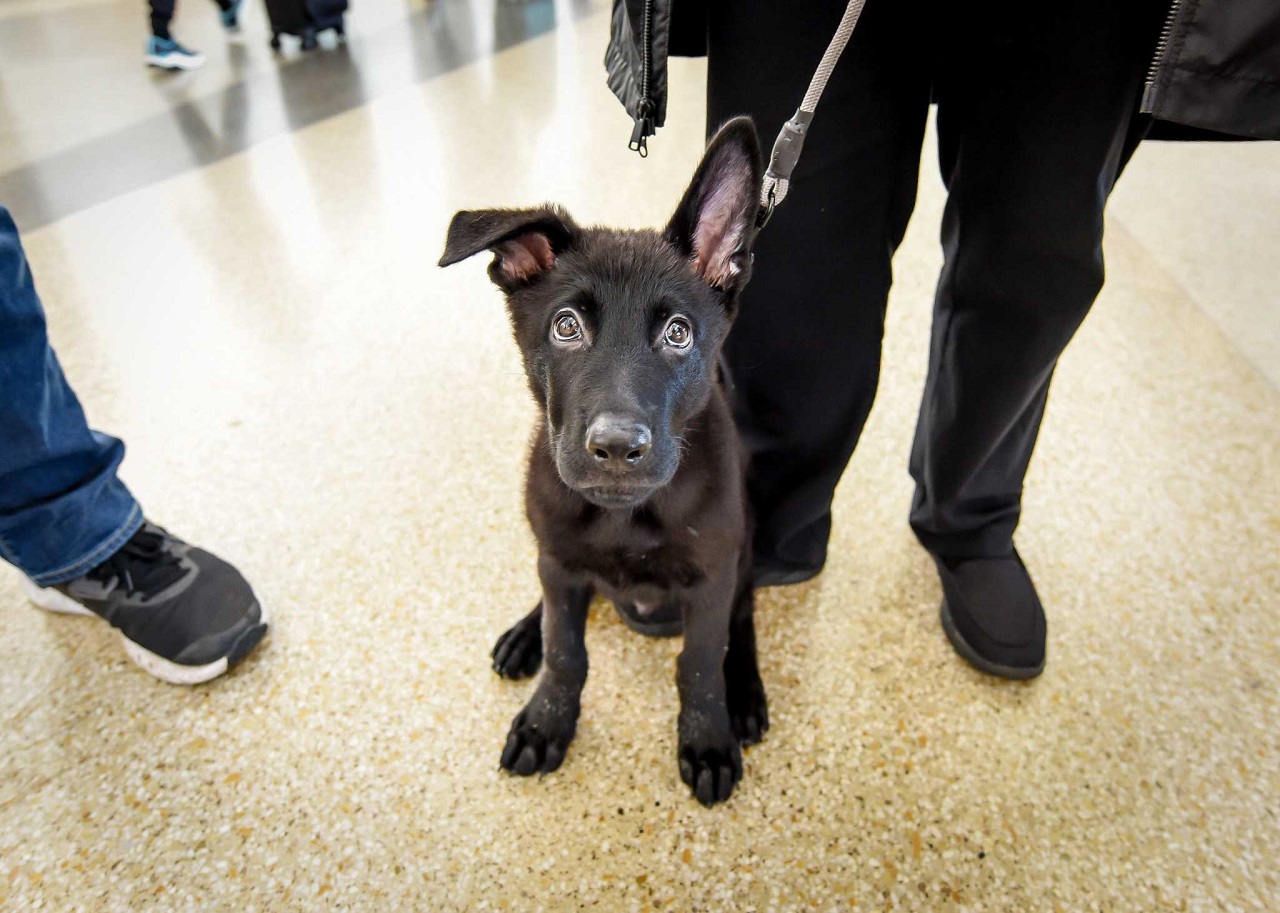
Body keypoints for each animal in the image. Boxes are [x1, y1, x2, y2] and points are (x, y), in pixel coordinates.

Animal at [440, 115, 762, 804]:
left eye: (678, 333)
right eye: (566, 326)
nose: (616, 448)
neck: (624, 517)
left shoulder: (712, 577)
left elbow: (701, 663)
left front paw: (708, 737)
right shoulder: (560, 563)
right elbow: (566, 650)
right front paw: (546, 721)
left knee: (745, 615)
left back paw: (746, 692)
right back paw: (523, 635)